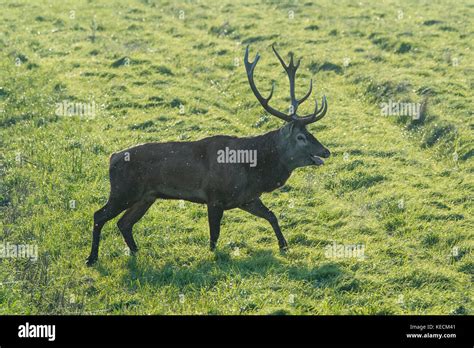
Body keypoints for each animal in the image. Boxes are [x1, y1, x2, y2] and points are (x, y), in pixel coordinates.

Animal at [86, 44, 330, 266]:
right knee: (99, 215)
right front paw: (213, 257)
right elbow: (214, 235)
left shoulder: (246, 197)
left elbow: (271, 215)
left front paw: (284, 246)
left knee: (124, 223)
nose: (326, 151)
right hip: (123, 190)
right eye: (301, 137)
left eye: (311, 133)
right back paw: (92, 258)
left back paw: (137, 252)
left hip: (146, 196)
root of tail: (112, 157)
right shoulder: (214, 197)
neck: (253, 169)